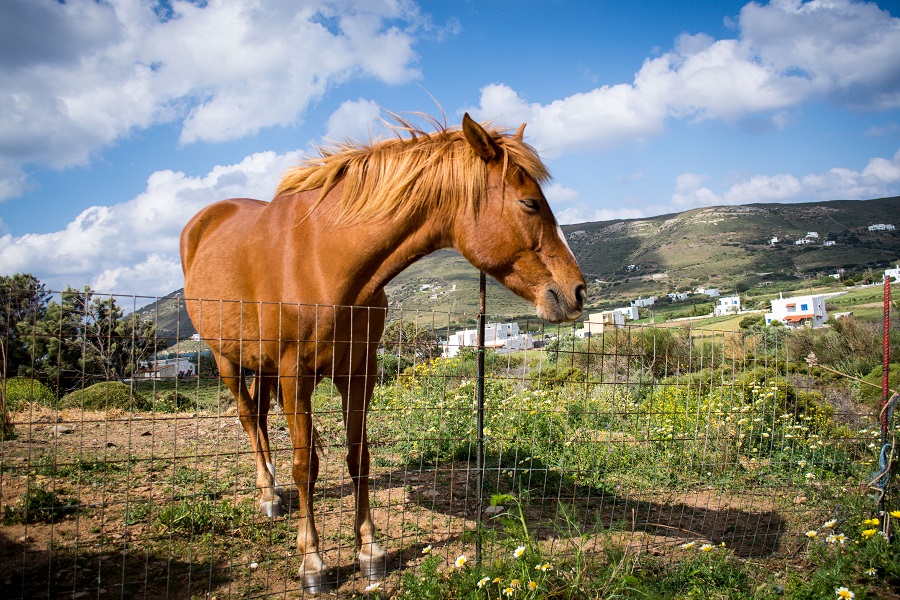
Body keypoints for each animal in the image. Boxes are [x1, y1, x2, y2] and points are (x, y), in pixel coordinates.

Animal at [178, 113, 584, 592]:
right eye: (530, 203)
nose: (577, 291)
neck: (322, 261)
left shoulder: (359, 372)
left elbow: (359, 458)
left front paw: (369, 549)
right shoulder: (295, 376)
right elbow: (304, 465)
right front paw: (312, 562)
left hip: (261, 366)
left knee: (258, 417)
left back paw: (272, 491)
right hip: (226, 359)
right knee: (247, 417)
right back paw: (267, 495)